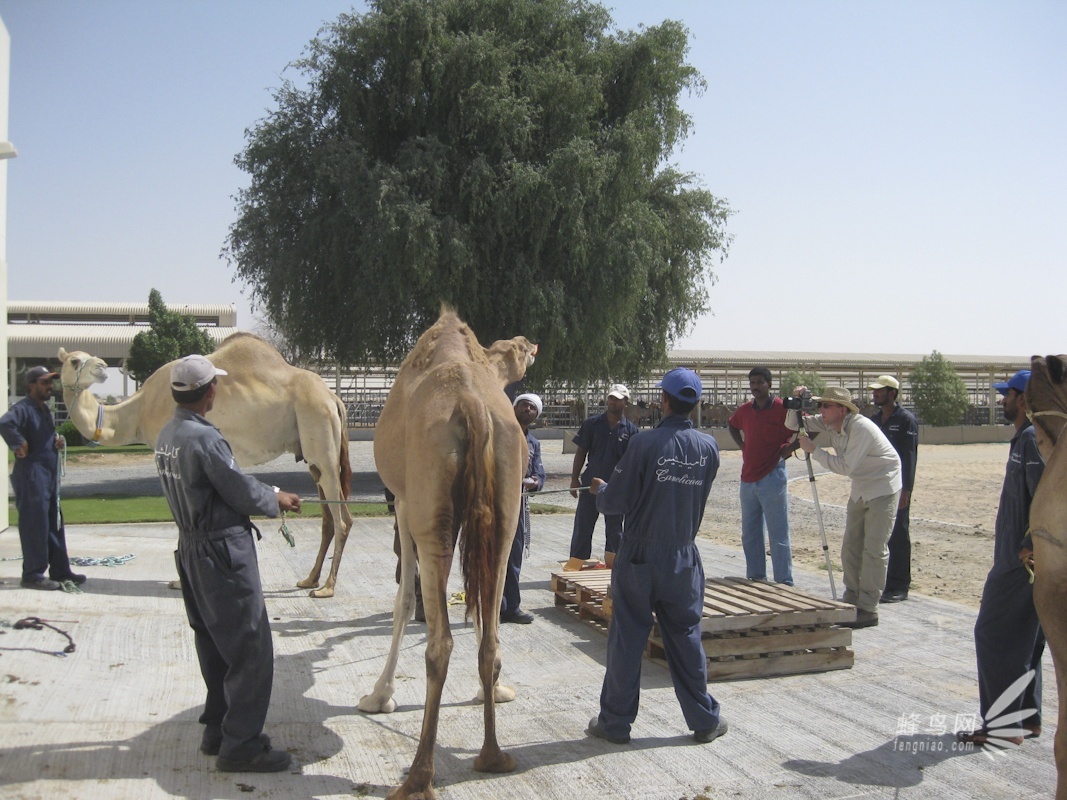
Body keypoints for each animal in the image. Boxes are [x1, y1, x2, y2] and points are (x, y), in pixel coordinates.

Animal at [58, 332, 354, 601]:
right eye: (75, 360)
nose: (100, 366)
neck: (139, 412)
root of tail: (334, 399)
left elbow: (183, 516)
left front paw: (180, 581)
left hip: (319, 431)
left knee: (341, 518)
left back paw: (327, 587)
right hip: (312, 453)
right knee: (329, 516)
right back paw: (310, 579)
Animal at [358, 311, 537, 800]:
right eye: (514, 346)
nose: (532, 342)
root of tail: (473, 405)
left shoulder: (403, 503)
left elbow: (403, 600)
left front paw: (378, 696)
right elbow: (476, 607)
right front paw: (493, 691)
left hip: (430, 509)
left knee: (439, 644)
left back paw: (419, 776)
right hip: (503, 512)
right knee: (490, 635)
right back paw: (493, 756)